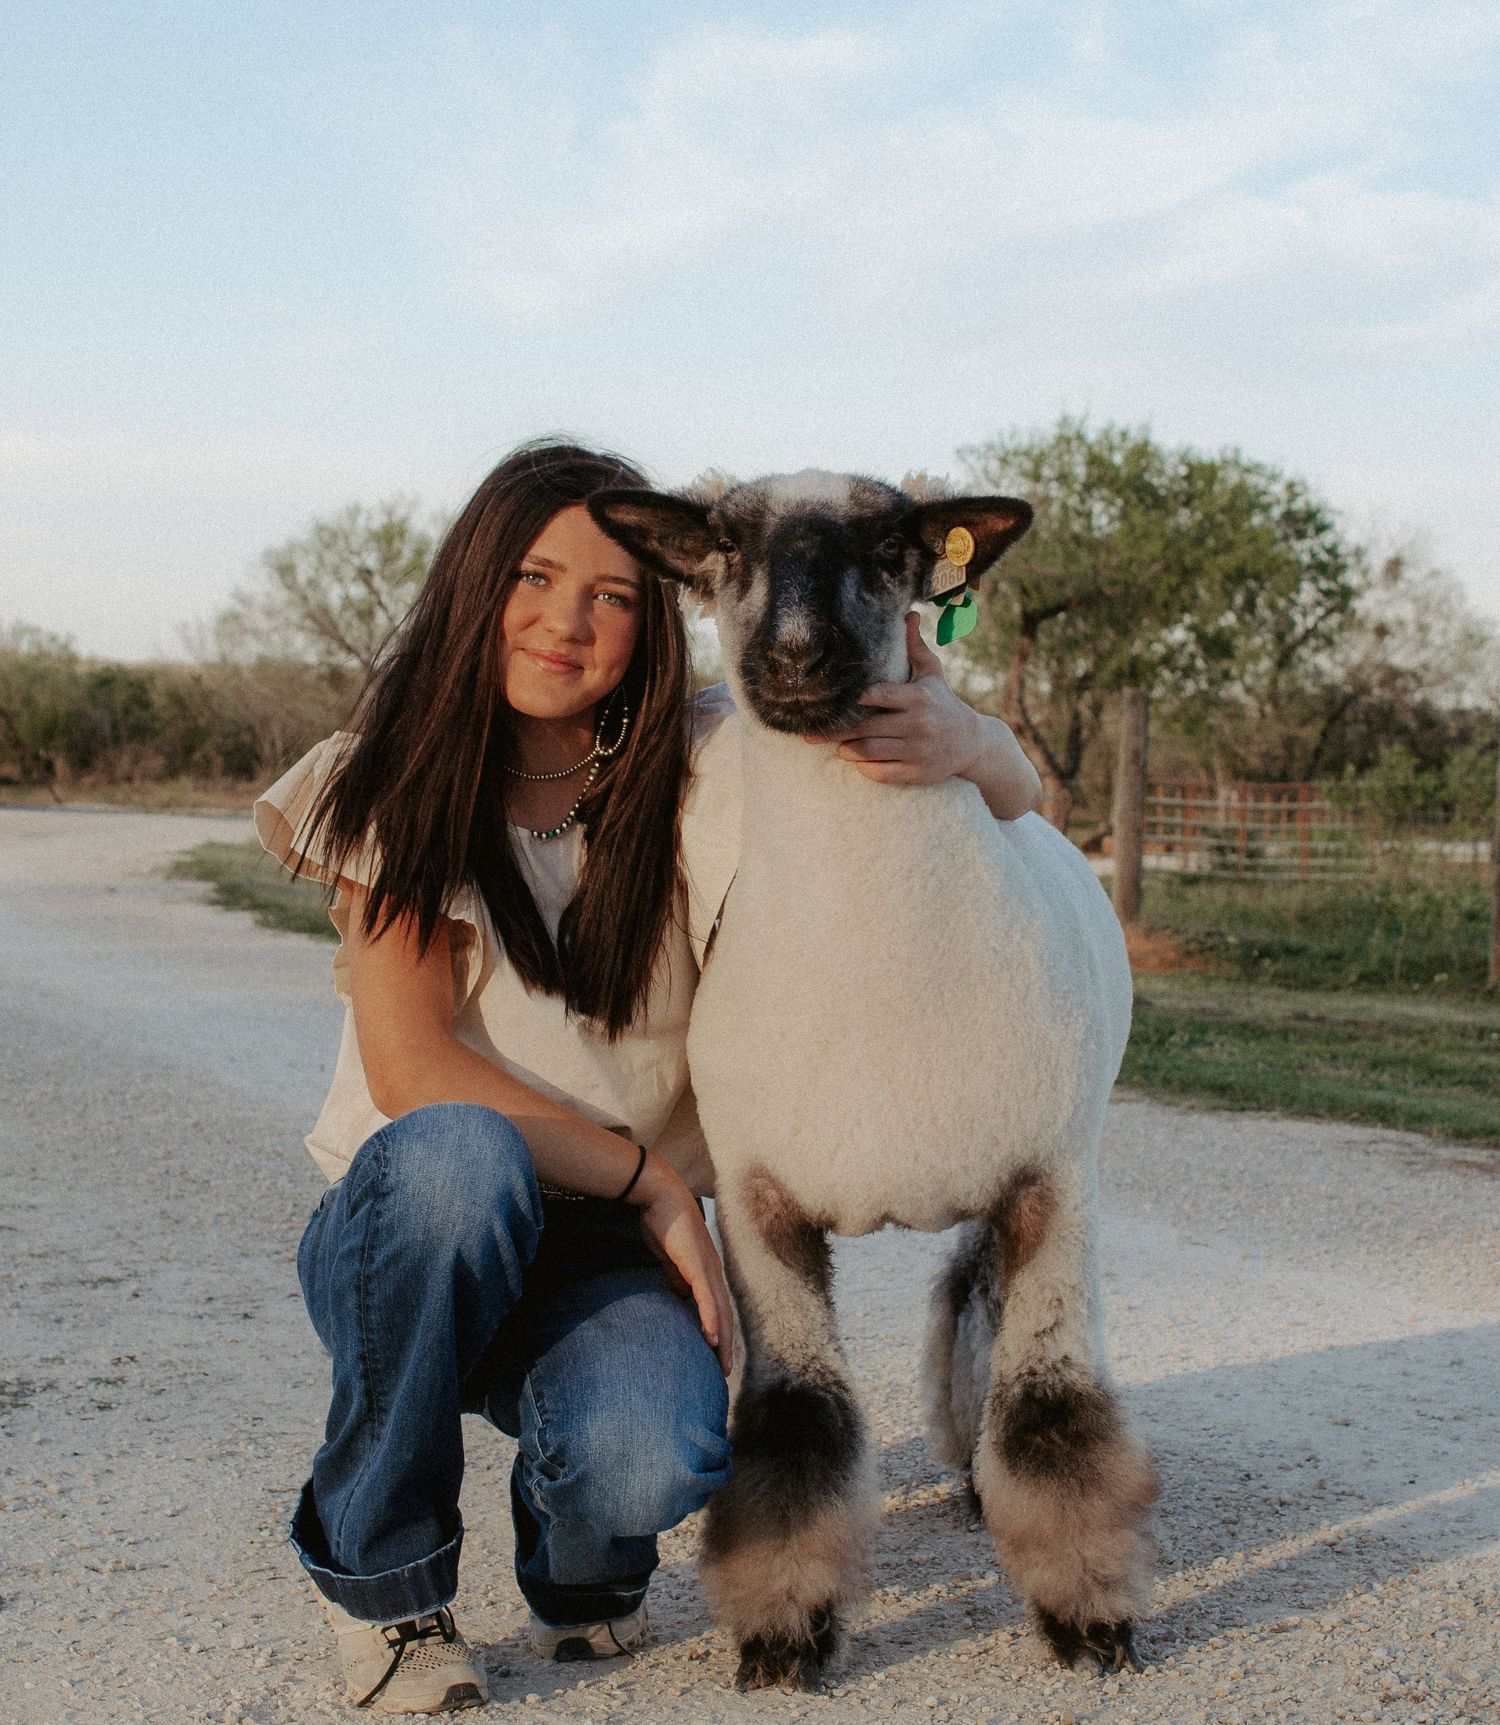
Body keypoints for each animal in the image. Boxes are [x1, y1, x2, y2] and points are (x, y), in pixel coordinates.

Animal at [590, 472, 1157, 1691]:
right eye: (725, 544)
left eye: (894, 544)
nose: (798, 655)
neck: (878, 984)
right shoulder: (758, 1205)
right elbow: (797, 1419)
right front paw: (781, 1638)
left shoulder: (1049, 1182)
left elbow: (1053, 1412)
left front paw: (1091, 1621)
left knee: (980, 1308)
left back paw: (981, 1486)